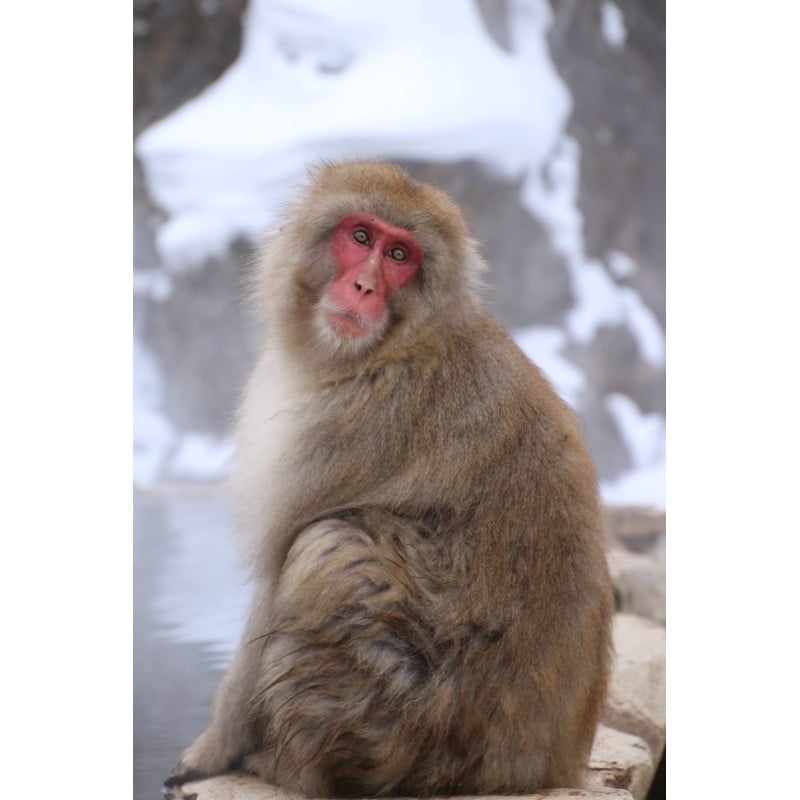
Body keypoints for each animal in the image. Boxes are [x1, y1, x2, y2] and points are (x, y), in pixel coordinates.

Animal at [165, 161, 614, 797]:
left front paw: (214, 749)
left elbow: (275, 570)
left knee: (328, 547)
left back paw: (292, 769)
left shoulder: (351, 423)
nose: (364, 287)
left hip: (409, 731)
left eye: (400, 255)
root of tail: (541, 769)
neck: (393, 347)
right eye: (360, 237)